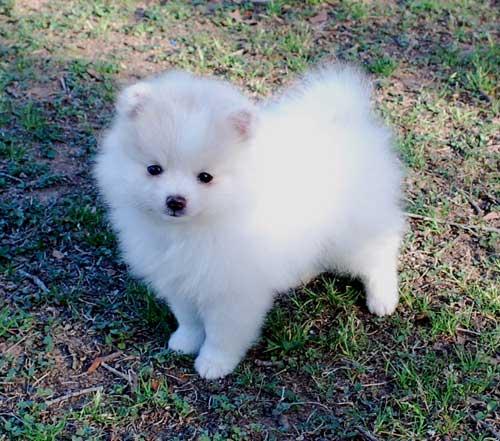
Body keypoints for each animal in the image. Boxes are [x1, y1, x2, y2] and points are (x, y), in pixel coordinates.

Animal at [94, 64, 406, 378]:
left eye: (205, 177)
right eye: (154, 169)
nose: (175, 200)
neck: (194, 229)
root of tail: (345, 117)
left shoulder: (233, 290)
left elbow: (222, 333)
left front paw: (213, 363)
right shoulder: (179, 279)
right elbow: (188, 317)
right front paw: (185, 341)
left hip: (354, 232)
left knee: (379, 253)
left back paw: (383, 298)